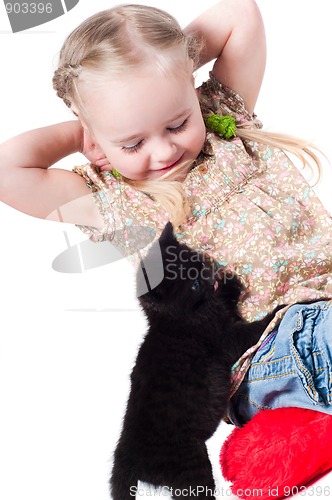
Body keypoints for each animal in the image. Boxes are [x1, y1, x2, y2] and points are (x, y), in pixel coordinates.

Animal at [110, 224, 278, 500]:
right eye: (194, 285)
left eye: (197, 262)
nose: (208, 275)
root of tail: (126, 456)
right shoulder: (226, 338)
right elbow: (256, 329)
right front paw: (286, 307)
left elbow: (224, 298)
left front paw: (229, 282)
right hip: (193, 468)